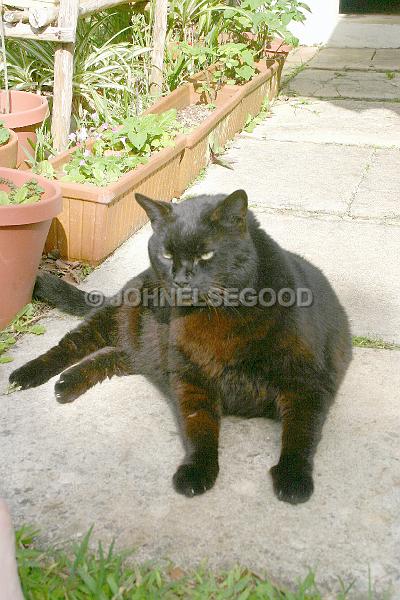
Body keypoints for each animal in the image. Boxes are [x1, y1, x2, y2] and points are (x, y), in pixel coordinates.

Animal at [9, 190, 352, 504]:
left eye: (206, 255)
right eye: (166, 254)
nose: (180, 279)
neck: (220, 317)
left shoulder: (307, 384)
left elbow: (301, 432)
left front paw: (293, 478)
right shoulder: (191, 379)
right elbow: (199, 427)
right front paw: (197, 471)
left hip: (143, 352)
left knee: (110, 357)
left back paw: (66, 384)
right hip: (110, 322)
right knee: (70, 345)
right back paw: (27, 375)